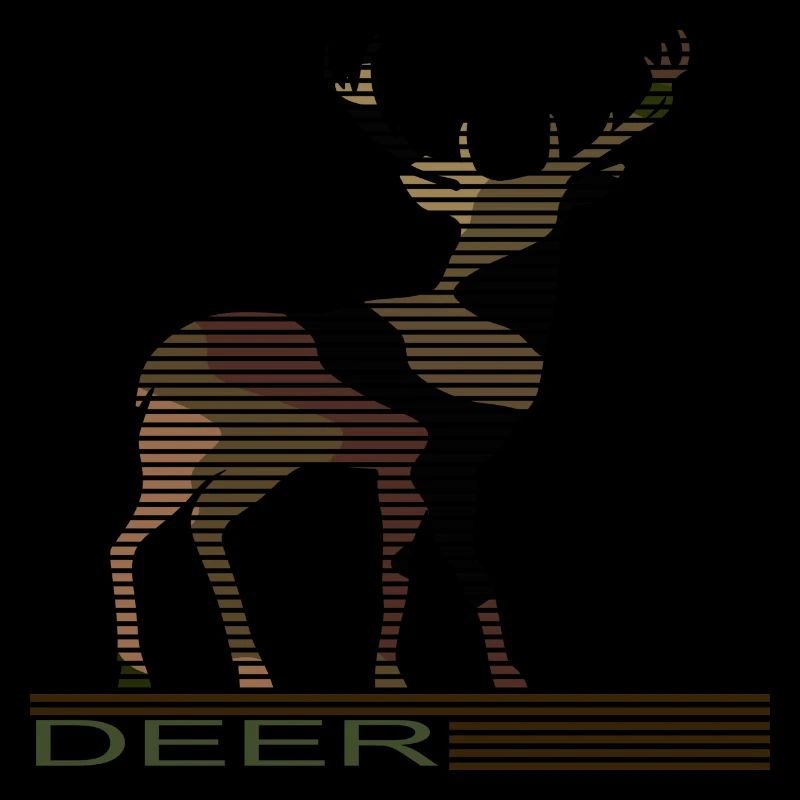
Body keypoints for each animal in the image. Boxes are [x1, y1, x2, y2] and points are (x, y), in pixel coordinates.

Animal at [110, 31, 690, 690]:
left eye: (548, 209)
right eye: (463, 218)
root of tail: (156, 367)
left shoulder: (411, 466)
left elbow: (412, 565)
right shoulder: (433, 461)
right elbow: (445, 568)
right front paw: (467, 681)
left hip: (215, 452)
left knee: (176, 527)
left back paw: (206, 671)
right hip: (227, 447)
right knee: (168, 528)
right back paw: (184, 671)